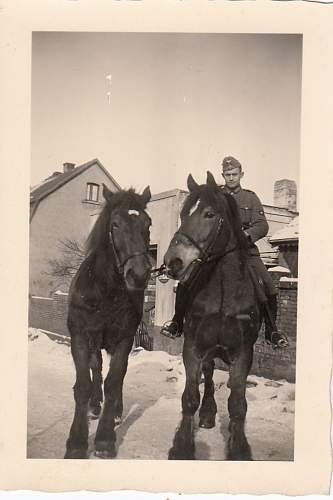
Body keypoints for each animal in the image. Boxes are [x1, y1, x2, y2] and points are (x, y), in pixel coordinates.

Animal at [63, 184, 152, 458]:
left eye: (148, 223)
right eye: (115, 224)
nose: (139, 274)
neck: (105, 291)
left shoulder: (124, 339)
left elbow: (114, 382)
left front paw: (104, 439)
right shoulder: (81, 338)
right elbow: (83, 384)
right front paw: (77, 441)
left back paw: (115, 412)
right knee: (96, 368)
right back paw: (95, 404)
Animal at [163, 172, 262, 460]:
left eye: (209, 213)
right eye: (183, 214)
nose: (173, 261)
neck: (222, 291)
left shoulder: (243, 353)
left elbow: (238, 404)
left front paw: (239, 448)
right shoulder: (193, 348)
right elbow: (189, 397)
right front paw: (182, 446)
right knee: (207, 377)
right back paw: (207, 413)